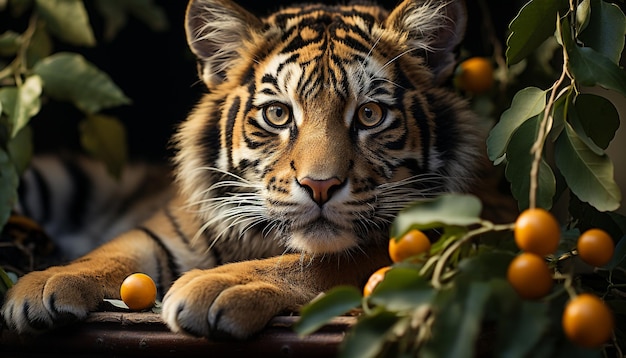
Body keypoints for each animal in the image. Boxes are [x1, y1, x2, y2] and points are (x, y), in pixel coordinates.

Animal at [1, 0, 482, 340]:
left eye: (369, 115)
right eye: (278, 114)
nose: (320, 185)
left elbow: (317, 264)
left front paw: (219, 286)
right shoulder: (165, 229)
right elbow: (112, 253)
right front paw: (44, 283)